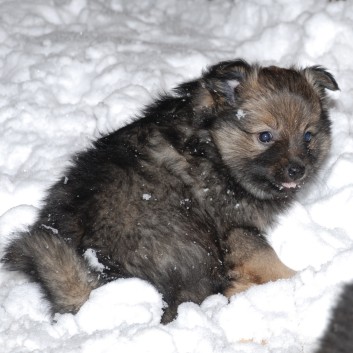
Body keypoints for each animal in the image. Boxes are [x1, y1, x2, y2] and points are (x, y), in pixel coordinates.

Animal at [2, 59, 338, 324]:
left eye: (308, 136)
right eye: (265, 136)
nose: (297, 170)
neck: (213, 144)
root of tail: (99, 285)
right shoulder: (236, 230)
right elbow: (267, 260)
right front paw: (302, 279)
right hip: (190, 242)